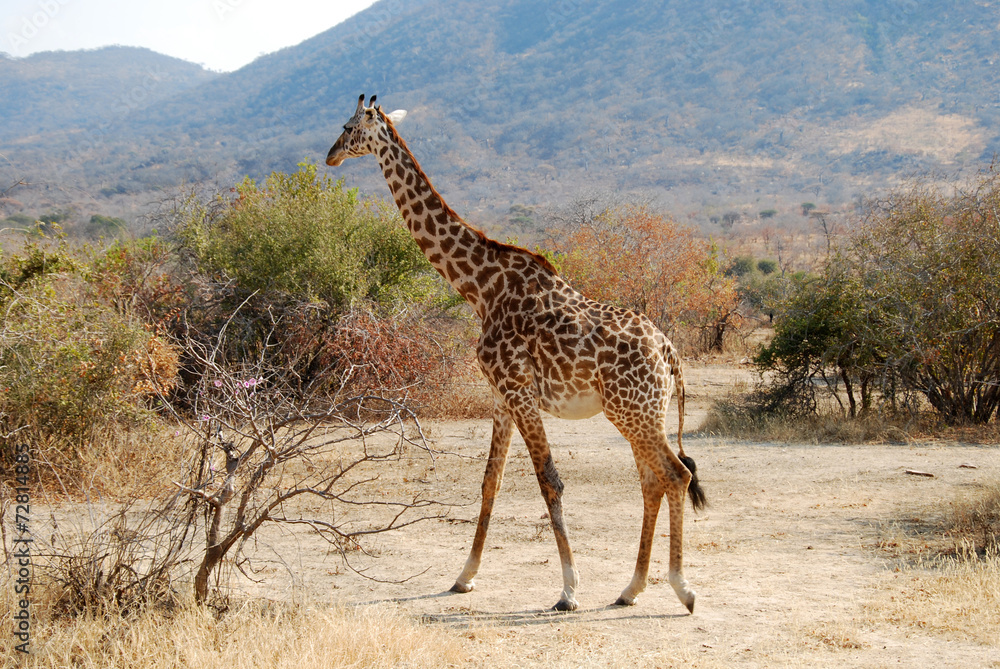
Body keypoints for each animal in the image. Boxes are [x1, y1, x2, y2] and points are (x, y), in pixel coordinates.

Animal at [326, 94, 706, 613]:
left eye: (348, 127)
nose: (330, 156)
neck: (480, 288)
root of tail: (670, 353)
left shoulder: (519, 390)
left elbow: (549, 480)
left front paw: (568, 590)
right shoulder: (501, 396)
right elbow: (491, 480)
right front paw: (464, 577)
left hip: (634, 412)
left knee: (676, 475)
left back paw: (682, 587)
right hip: (640, 412)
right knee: (654, 480)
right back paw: (631, 588)